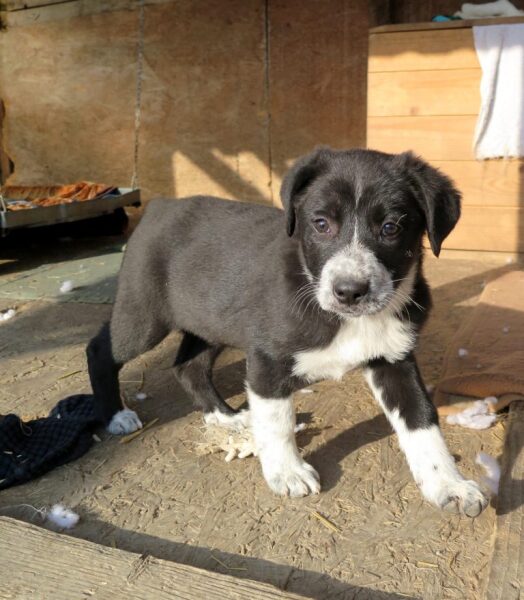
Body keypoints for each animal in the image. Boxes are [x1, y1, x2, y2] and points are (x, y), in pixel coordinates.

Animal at [87, 147, 488, 517]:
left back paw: (225, 416)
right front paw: (287, 472)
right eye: (321, 223)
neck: (343, 318)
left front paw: (448, 483)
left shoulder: (394, 359)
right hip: (143, 316)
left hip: (212, 320)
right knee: (101, 349)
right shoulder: (267, 358)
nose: (349, 291)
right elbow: (277, 422)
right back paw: (116, 415)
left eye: (390, 228)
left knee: (189, 365)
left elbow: (423, 422)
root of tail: (159, 205)